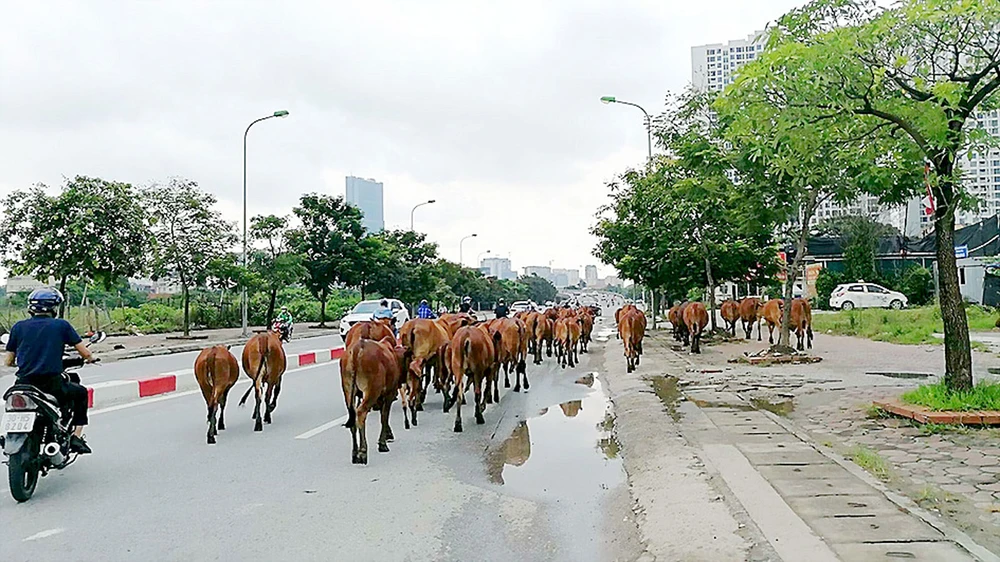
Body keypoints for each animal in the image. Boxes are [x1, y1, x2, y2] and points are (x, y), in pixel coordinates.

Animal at [340, 334, 406, 462]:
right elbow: (384, 416)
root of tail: (357, 348)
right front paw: (383, 443)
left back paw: (355, 453)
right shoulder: (389, 394)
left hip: (348, 391)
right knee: (361, 413)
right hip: (372, 391)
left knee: (353, 415)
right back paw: (363, 452)